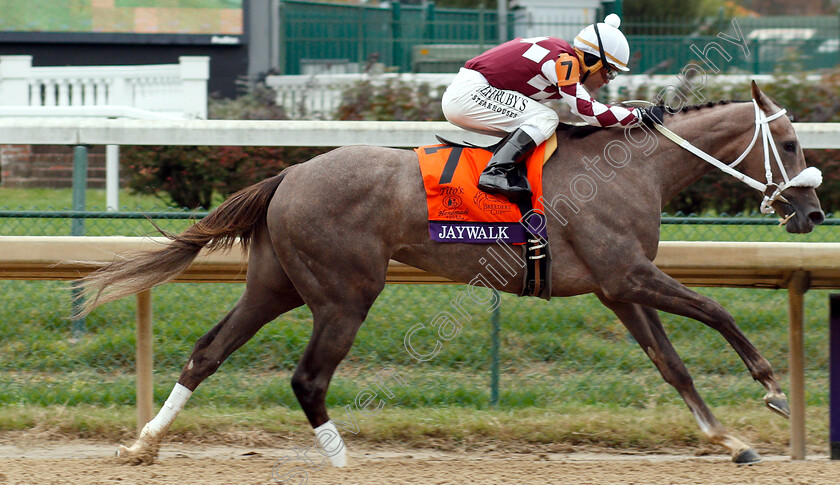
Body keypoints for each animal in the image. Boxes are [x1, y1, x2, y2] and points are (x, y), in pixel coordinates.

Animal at [80, 83, 828, 466]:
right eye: (792, 144)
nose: (814, 211)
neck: (631, 168)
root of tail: (288, 174)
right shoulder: (630, 274)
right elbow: (716, 310)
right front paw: (770, 388)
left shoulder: (617, 287)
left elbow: (672, 364)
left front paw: (729, 440)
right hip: (345, 294)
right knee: (308, 377)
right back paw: (340, 459)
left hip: (276, 284)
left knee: (207, 351)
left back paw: (144, 442)